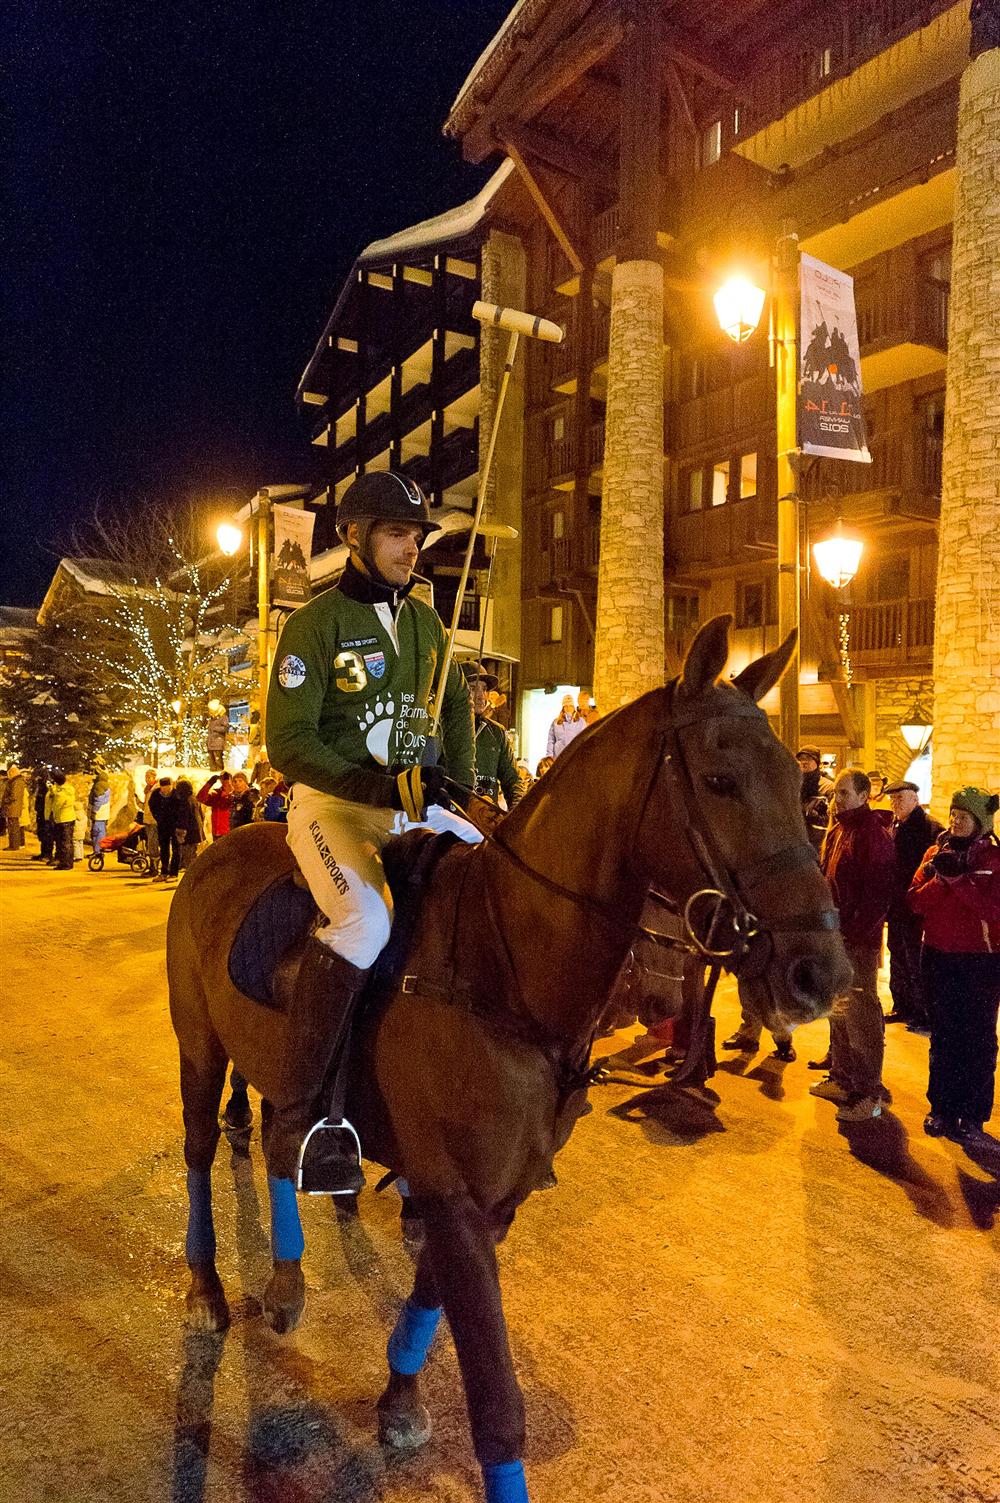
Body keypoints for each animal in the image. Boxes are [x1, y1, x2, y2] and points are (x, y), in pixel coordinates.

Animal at [167, 616, 851, 1503]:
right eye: (721, 778)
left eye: (801, 786)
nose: (822, 974)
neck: (506, 967)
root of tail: (219, 848)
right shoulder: (456, 1197)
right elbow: (496, 1402)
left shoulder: (488, 1199)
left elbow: (430, 1306)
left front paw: (399, 1398)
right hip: (198, 1046)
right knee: (200, 1150)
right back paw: (207, 1288)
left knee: (284, 1138)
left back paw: (286, 1279)